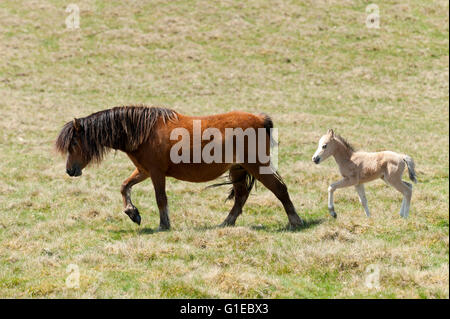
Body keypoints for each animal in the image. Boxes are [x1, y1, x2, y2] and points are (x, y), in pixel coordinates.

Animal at [54, 106, 304, 231]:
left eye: (74, 143)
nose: (69, 170)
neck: (144, 131)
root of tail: (260, 119)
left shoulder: (156, 173)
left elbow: (160, 198)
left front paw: (163, 224)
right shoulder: (143, 171)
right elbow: (124, 186)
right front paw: (132, 212)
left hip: (257, 166)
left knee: (280, 190)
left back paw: (295, 221)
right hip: (238, 169)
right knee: (241, 197)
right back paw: (226, 223)